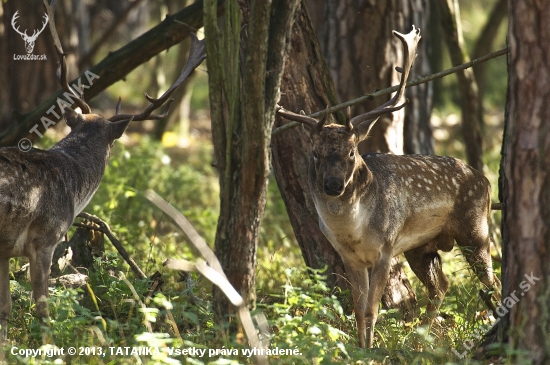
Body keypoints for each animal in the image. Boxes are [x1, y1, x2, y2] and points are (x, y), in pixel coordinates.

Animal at [0, 22, 206, 342]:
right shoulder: (44, 238)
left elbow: (5, 309)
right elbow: (43, 309)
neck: (73, 188)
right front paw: (49, 348)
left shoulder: (6, 251)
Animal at [278, 26, 502, 346]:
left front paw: (371, 350)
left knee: (492, 280)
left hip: (475, 230)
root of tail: (485, 181)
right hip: (421, 248)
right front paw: (360, 348)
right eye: (315, 153)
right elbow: (358, 310)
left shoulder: (385, 248)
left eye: (351, 152)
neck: (352, 231)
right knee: (442, 285)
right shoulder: (349, 257)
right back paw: (419, 339)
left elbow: (372, 309)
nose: (333, 185)